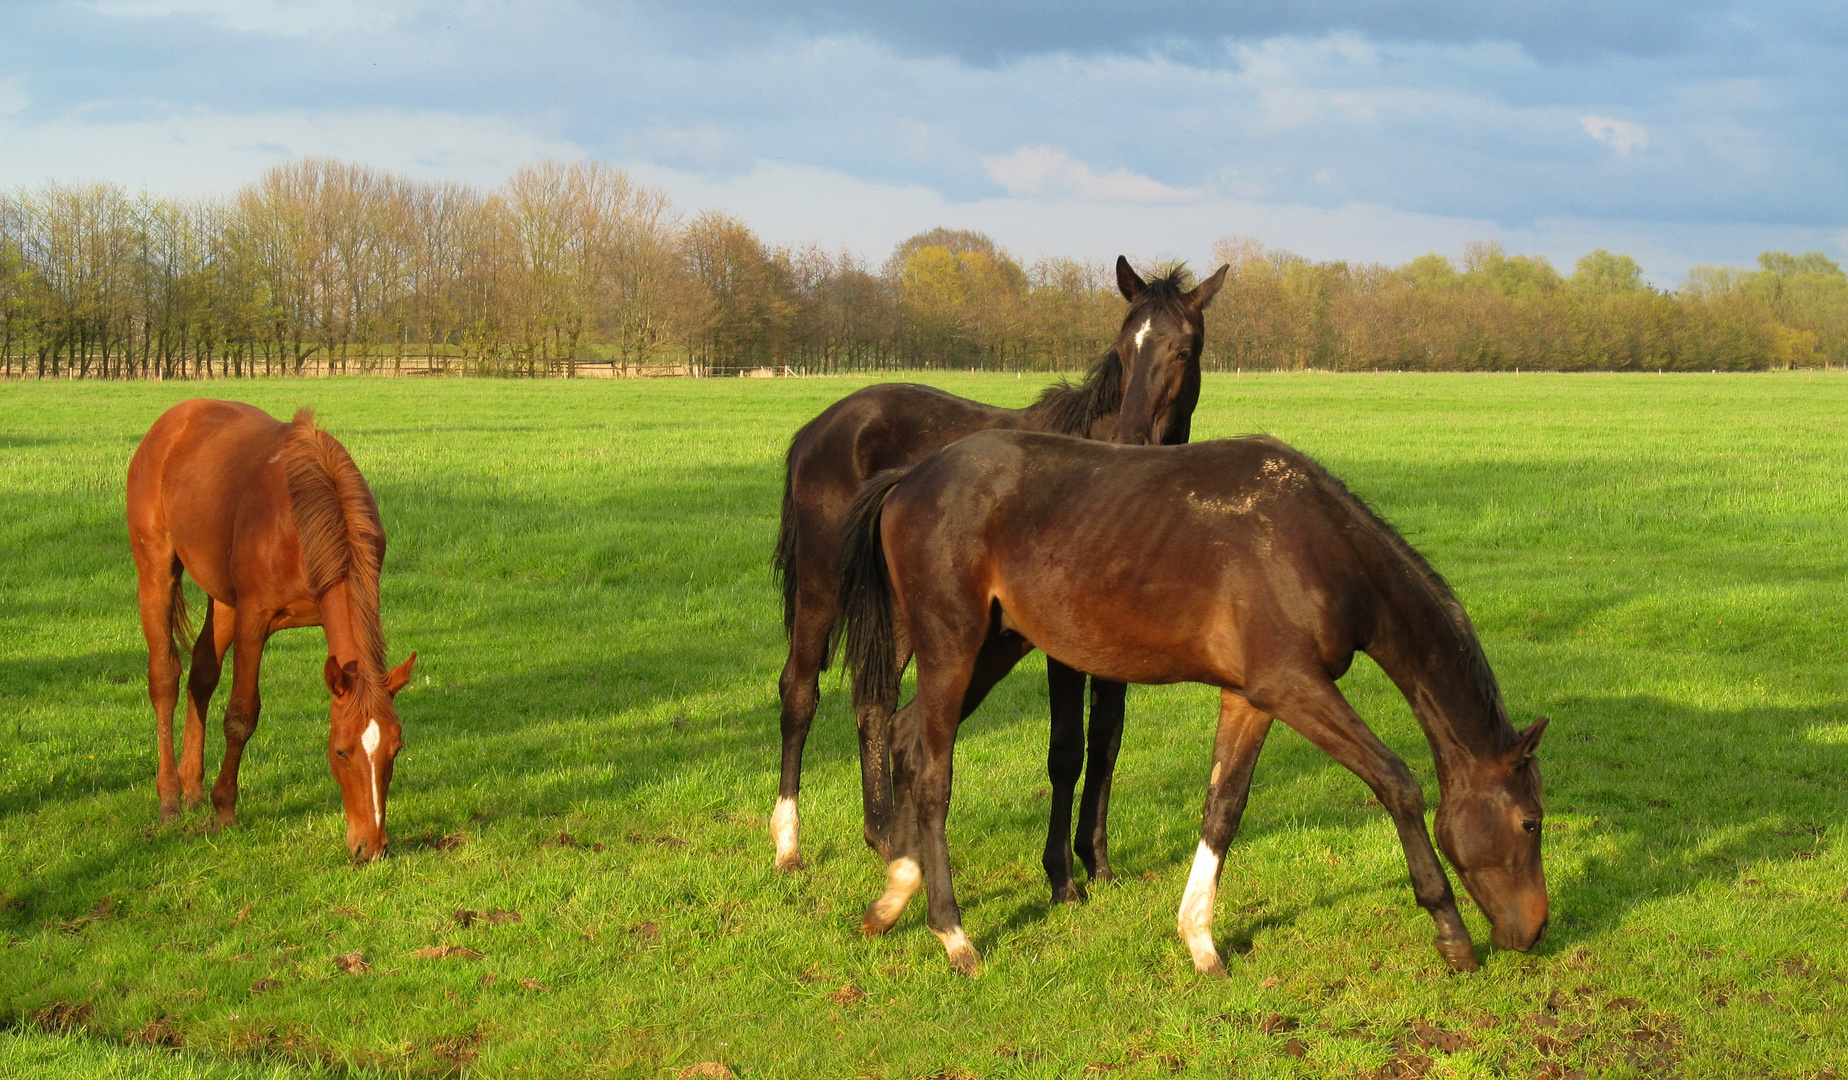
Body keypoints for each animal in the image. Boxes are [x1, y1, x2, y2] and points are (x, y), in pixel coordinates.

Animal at [128, 395, 417, 861]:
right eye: (341, 751)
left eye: (396, 747)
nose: (370, 848)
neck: (301, 521)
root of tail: (172, 421)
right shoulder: (254, 618)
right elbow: (241, 715)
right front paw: (225, 810)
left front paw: (212, 799)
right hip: (156, 571)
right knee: (165, 678)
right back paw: (170, 798)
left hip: (222, 599)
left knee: (201, 675)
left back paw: (191, 788)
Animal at [768, 255, 1227, 902]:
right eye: (1123, 346)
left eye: (1183, 349)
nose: (1134, 436)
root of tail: (819, 427)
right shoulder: (1061, 648)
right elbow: (1067, 749)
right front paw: (1062, 878)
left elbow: (1107, 742)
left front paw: (1098, 862)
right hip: (822, 587)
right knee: (799, 693)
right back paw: (789, 845)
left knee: (874, 703)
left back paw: (883, 837)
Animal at [846, 432, 1552, 976]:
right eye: (1530, 822)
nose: (1536, 930)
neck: (1315, 544)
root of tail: (911, 478)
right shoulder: (1295, 687)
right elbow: (1397, 782)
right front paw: (1451, 935)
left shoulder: (1252, 698)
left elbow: (1224, 809)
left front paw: (1201, 942)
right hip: (953, 649)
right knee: (934, 774)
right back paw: (953, 935)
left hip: (994, 648)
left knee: (906, 738)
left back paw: (892, 899)